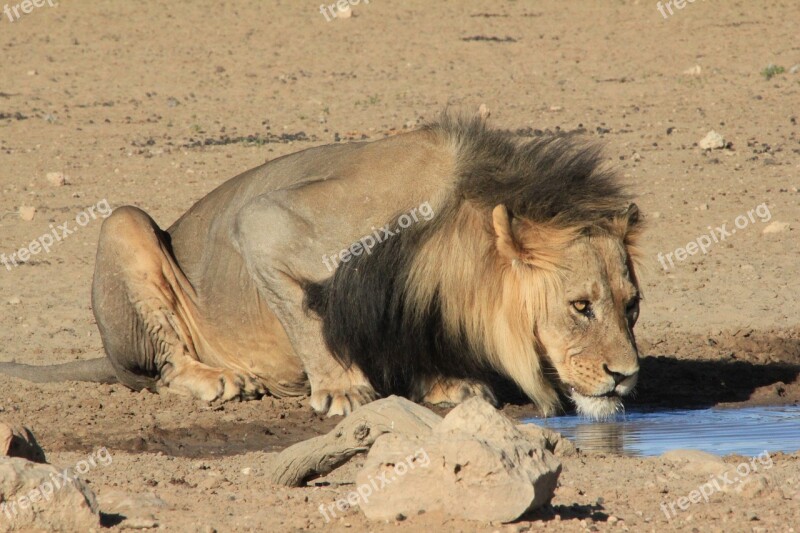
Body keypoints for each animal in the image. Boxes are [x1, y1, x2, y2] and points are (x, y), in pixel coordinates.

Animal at [0, 115, 644, 420]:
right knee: (161, 368)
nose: (626, 376)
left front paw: (445, 383)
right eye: (580, 306)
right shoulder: (266, 223)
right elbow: (310, 319)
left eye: (632, 307)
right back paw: (219, 379)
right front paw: (341, 390)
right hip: (125, 225)